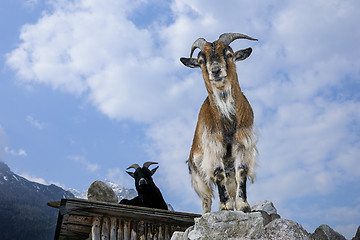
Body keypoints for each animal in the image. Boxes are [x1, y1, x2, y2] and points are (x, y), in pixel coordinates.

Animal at [181, 32, 258, 214]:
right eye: (201, 60)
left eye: (229, 54)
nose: (215, 71)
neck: (227, 122)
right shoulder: (212, 146)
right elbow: (218, 174)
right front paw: (225, 207)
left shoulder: (242, 144)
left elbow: (242, 172)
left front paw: (243, 205)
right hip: (198, 177)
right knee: (206, 199)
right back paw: (206, 214)